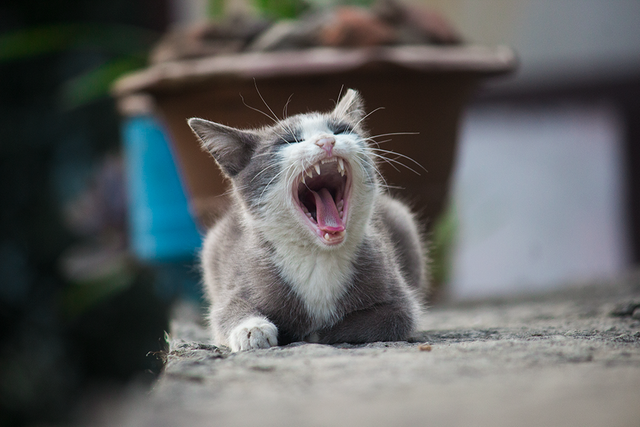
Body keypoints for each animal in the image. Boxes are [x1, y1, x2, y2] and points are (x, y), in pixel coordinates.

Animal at [188, 88, 428, 352]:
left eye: (341, 130)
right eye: (290, 141)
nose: (326, 141)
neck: (318, 256)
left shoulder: (396, 295)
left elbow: (395, 318)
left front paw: (313, 333)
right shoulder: (242, 272)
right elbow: (224, 312)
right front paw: (252, 329)